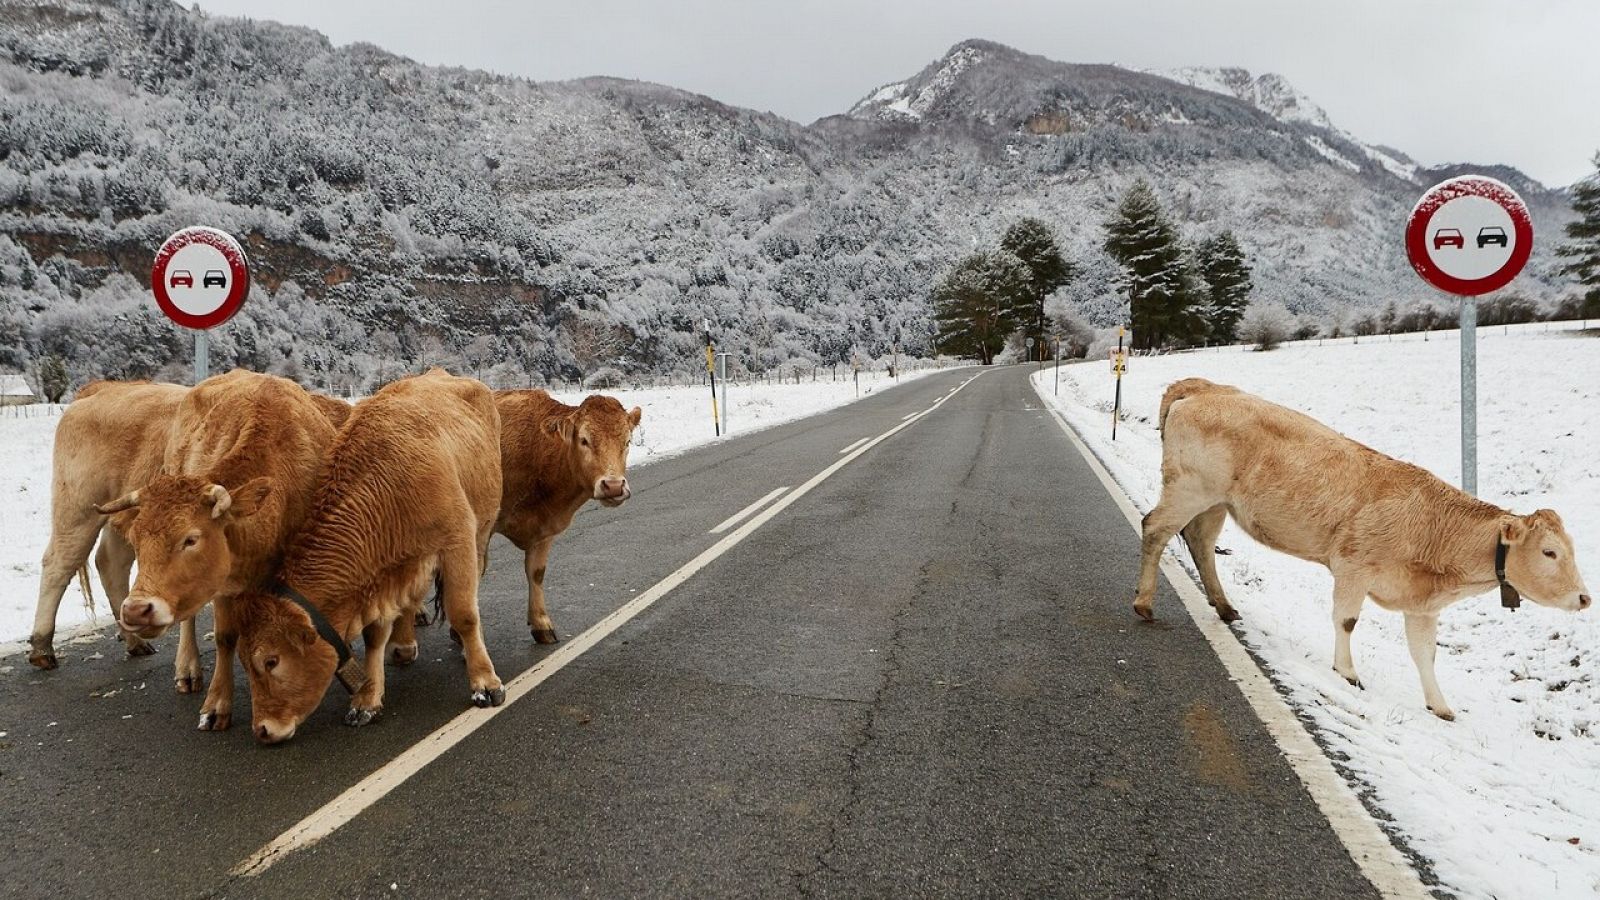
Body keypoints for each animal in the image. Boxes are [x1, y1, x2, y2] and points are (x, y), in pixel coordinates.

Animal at [29, 376, 188, 666]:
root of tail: (107, 387)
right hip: (78, 509)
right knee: (59, 563)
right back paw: (42, 649)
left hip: (123, 511)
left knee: (110, 562)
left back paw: (134, 640)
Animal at [92, 368, 337, 723]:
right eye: (136, 540)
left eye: (191, 539)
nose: (136, 610)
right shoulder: (223, 582)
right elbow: (225, 637)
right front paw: (217, 703)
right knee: (188, 619)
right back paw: (187, 668)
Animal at [232, 368, 502, 739]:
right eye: (244, 663)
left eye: (271, 661)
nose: (262, 729)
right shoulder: (384, 574)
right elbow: (375, 635)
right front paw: (367, 701)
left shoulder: (456, 541)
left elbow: (463, 613)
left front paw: (485, 684)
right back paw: (403, 645)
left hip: (481, 534)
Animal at [384, 385, 640, 659]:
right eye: (584, 440)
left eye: (627, 442)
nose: (613, 486)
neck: (538, 450)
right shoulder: (481, 531)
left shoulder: (545, 530)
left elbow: (536, 573)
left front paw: (541, 624)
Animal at [1139, 374, 1587, 717]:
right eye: (1550, 552)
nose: (1584, 598)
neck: (1433, 527)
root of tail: (1204, 386)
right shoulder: (1353, 566)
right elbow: (1347, 620)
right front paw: (1347, 672)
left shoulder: (1421, 604)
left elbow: (1425, 654)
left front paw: (1440, 706)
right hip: (1191, 488)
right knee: (1155, 528)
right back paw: (1144, 603)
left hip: (1216, 502)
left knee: (1200, 543)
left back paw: (1225, 607)